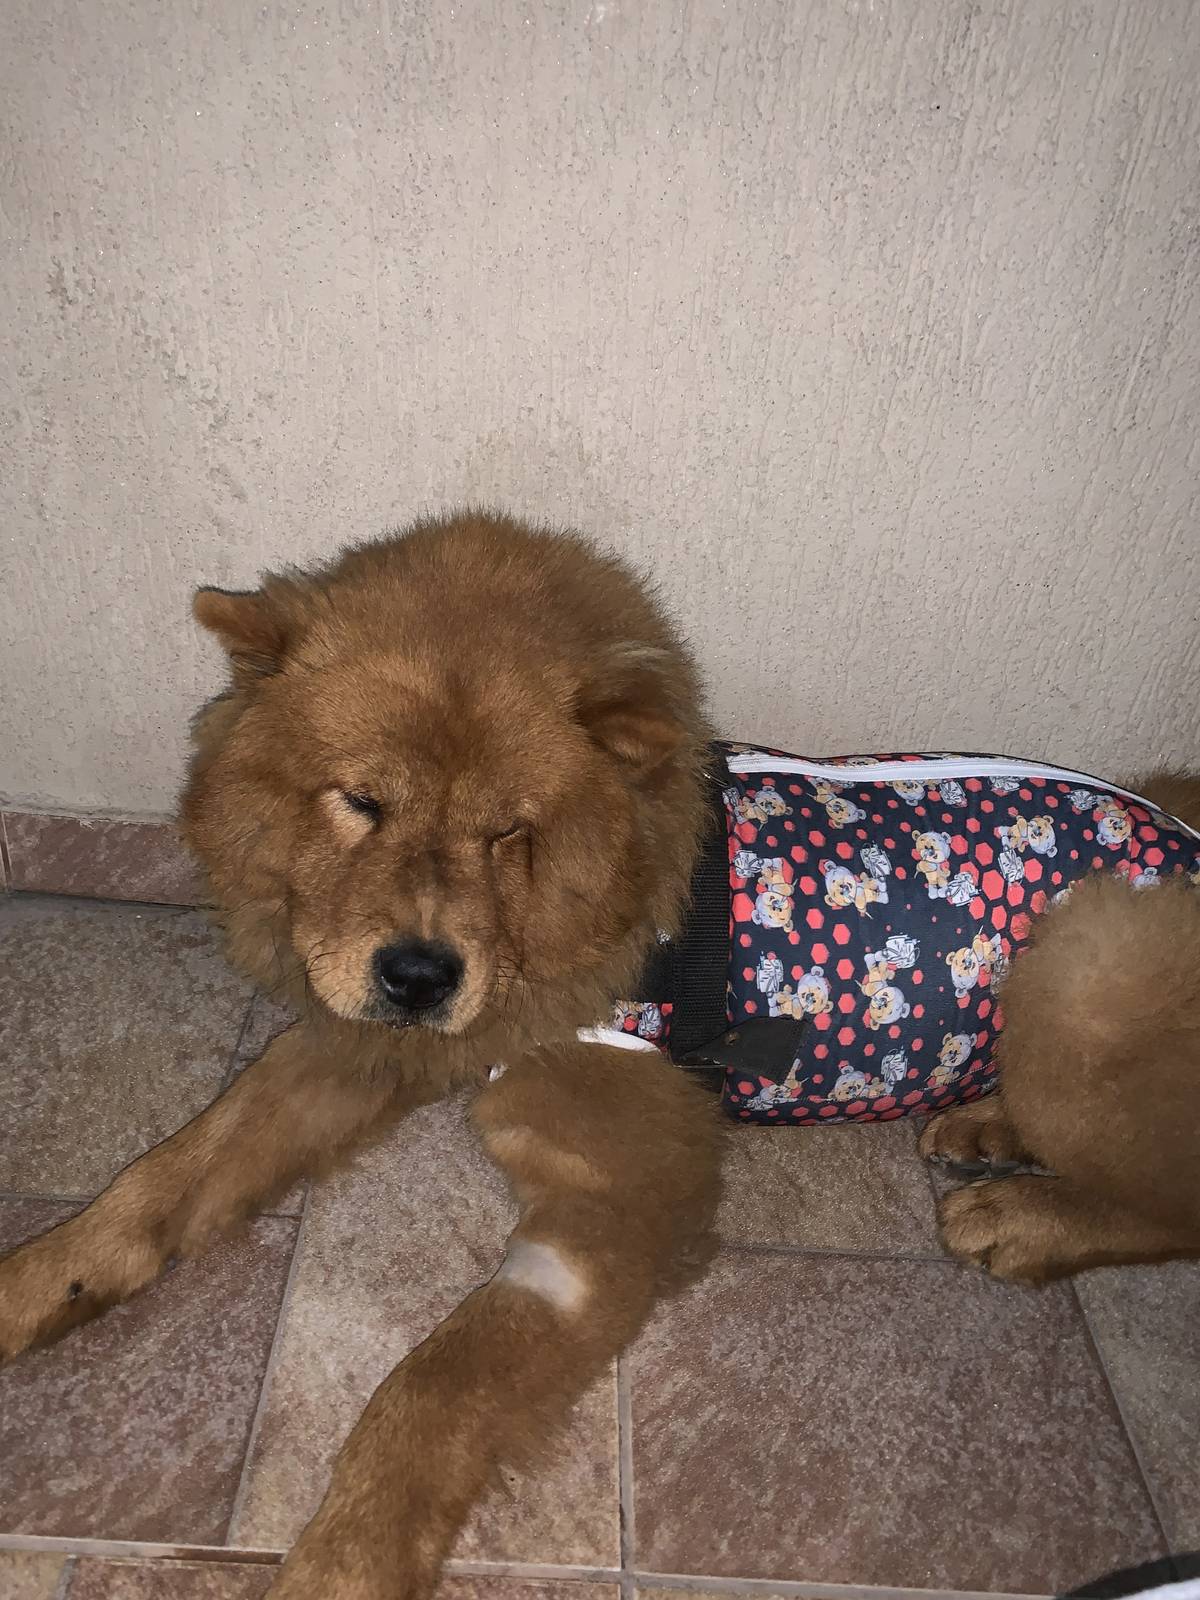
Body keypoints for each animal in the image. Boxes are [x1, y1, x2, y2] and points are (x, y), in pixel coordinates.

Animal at [1, 510, 1198, 1600]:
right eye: (363, 801)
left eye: (507, 831)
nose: (419, 976)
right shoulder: (371, 1045)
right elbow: (168, 1173)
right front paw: (34, 1282)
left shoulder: (608, 1205)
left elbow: (430, 1388)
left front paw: (341, 1568)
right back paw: (984, 1127)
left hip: (1087, 968)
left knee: (1170, 1196)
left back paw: (1021, 1214)